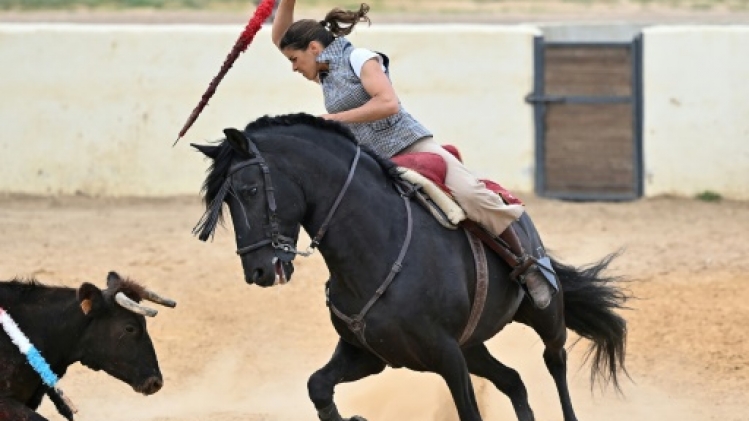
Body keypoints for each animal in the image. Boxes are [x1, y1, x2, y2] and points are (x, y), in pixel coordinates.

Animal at [191, 113, 629, 421]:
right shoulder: (369, 354)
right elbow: (318, 386)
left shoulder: (447, 356)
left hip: (544, 315)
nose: (258, 272)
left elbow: (469, 413)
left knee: (555, 361)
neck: (376, 248)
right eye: (225, 202)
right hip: (474, 346)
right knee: (514, 382)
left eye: (249, 190)